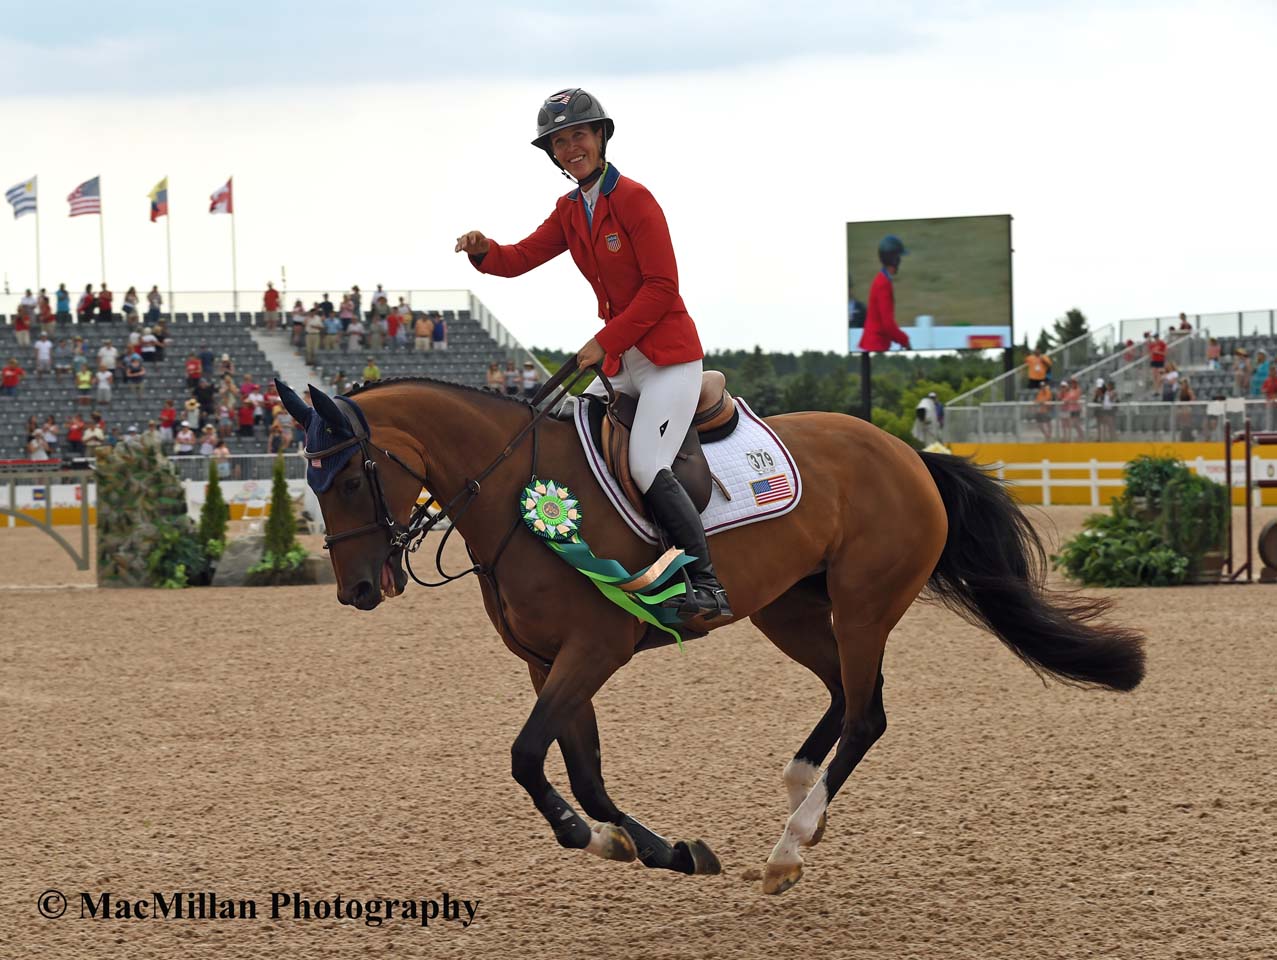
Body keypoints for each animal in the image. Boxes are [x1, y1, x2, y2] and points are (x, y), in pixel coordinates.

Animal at [279, 372, 1149, 893]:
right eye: (310, 482)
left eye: (348, 477)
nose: (358, 591)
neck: (516, 492)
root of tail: (906, 451)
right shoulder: (546, 662)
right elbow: (582, 769)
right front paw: (648, 847)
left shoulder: (592, 651)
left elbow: (529, 758)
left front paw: (599, 838)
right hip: (788, 609)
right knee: (842, 696)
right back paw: (803, 798)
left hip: (862, 604)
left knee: (867, 714)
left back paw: (789, 847)